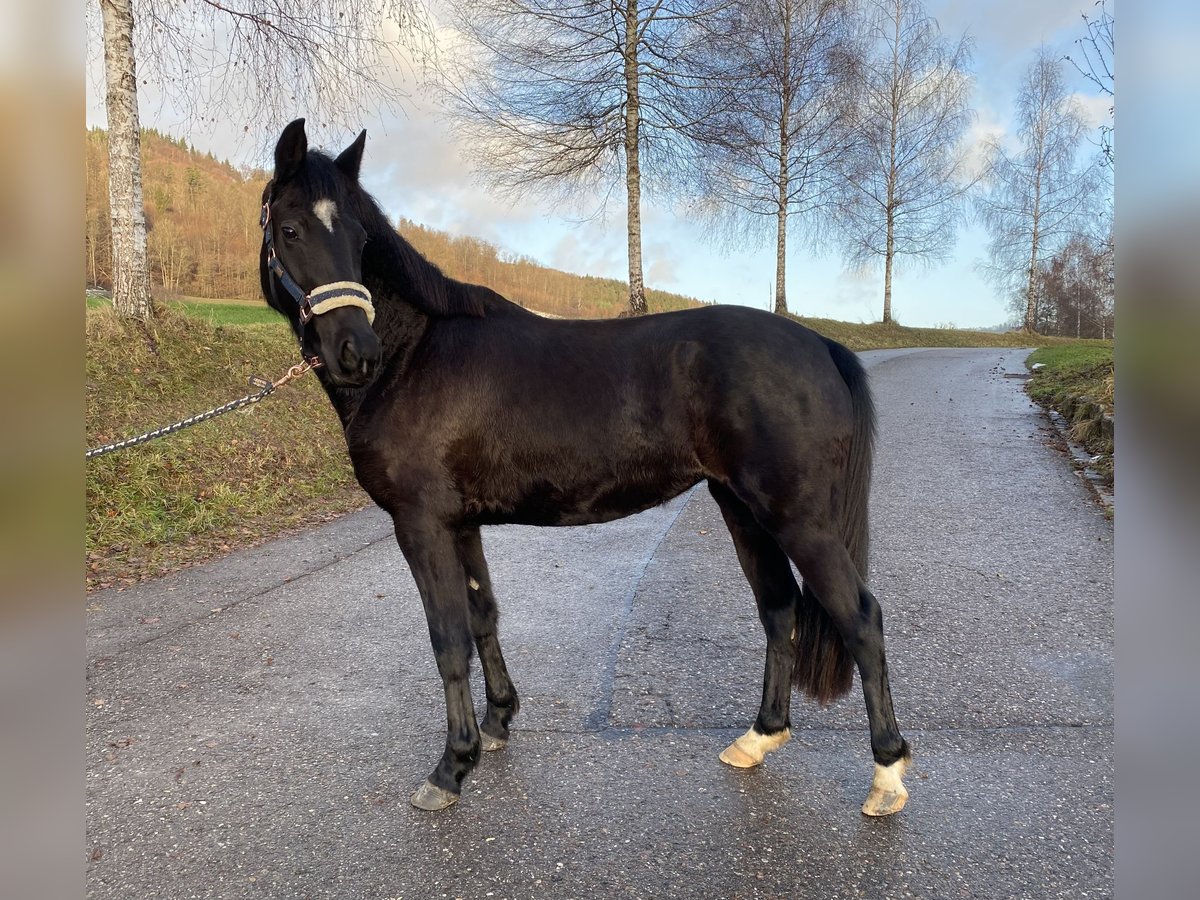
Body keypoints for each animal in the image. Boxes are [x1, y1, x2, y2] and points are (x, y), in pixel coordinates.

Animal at [255, 120, 907, 816]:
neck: (414, 356)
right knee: (779, 609)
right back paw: (759, 738)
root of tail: (820, 344)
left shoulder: (421, 524)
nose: (356, 353)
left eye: (359, 238)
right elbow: (483, 616)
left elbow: (448, 637)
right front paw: (497, 723)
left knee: (860, 619)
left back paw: (887, 774)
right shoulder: (460, 524)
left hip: (798, 519)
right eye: (291, 229)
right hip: (741, 509)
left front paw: (452, 766)